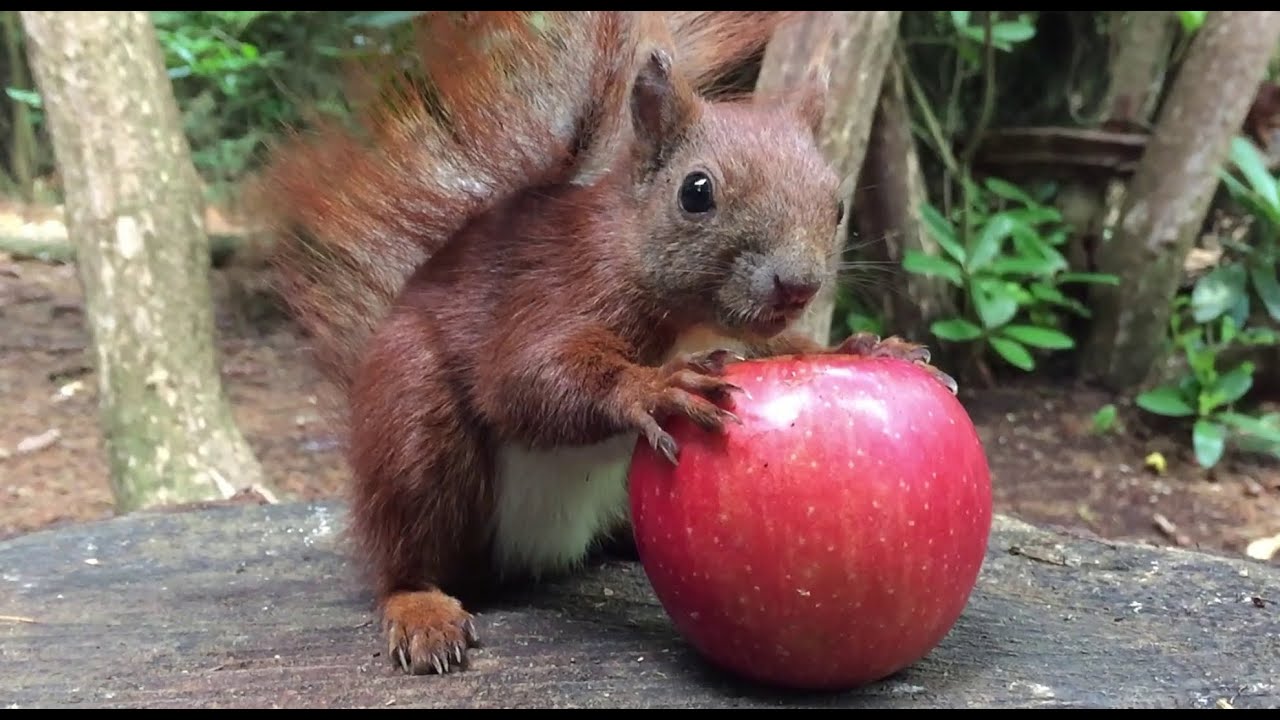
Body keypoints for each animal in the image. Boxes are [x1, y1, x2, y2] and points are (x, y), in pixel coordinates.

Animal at [254, 11, 957, 676]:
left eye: (837, 206)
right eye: (696, 192)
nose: (798, 284)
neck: (688, 314)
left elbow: (786, 345)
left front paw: (868, 349)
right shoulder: (557, 290)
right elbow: (525, 377)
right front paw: (656, 386)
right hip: (414, 422)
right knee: (405, 554)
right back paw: (420, 608)